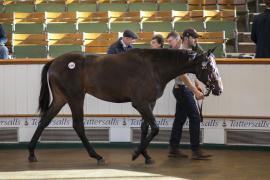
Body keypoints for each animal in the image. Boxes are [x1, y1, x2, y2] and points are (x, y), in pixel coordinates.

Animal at [28, 47, 224, 165]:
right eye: (210, 67)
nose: (219, 89)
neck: (153, 67)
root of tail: (54, 62)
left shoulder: (149, 103)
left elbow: (146, 127)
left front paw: (146, 156)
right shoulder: (140, 103)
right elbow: (155, 127)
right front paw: (136, 153)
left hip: (61, 99)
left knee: (44, 121)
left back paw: (31, 153)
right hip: (75, 97)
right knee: (78, 126)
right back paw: (97, 156)